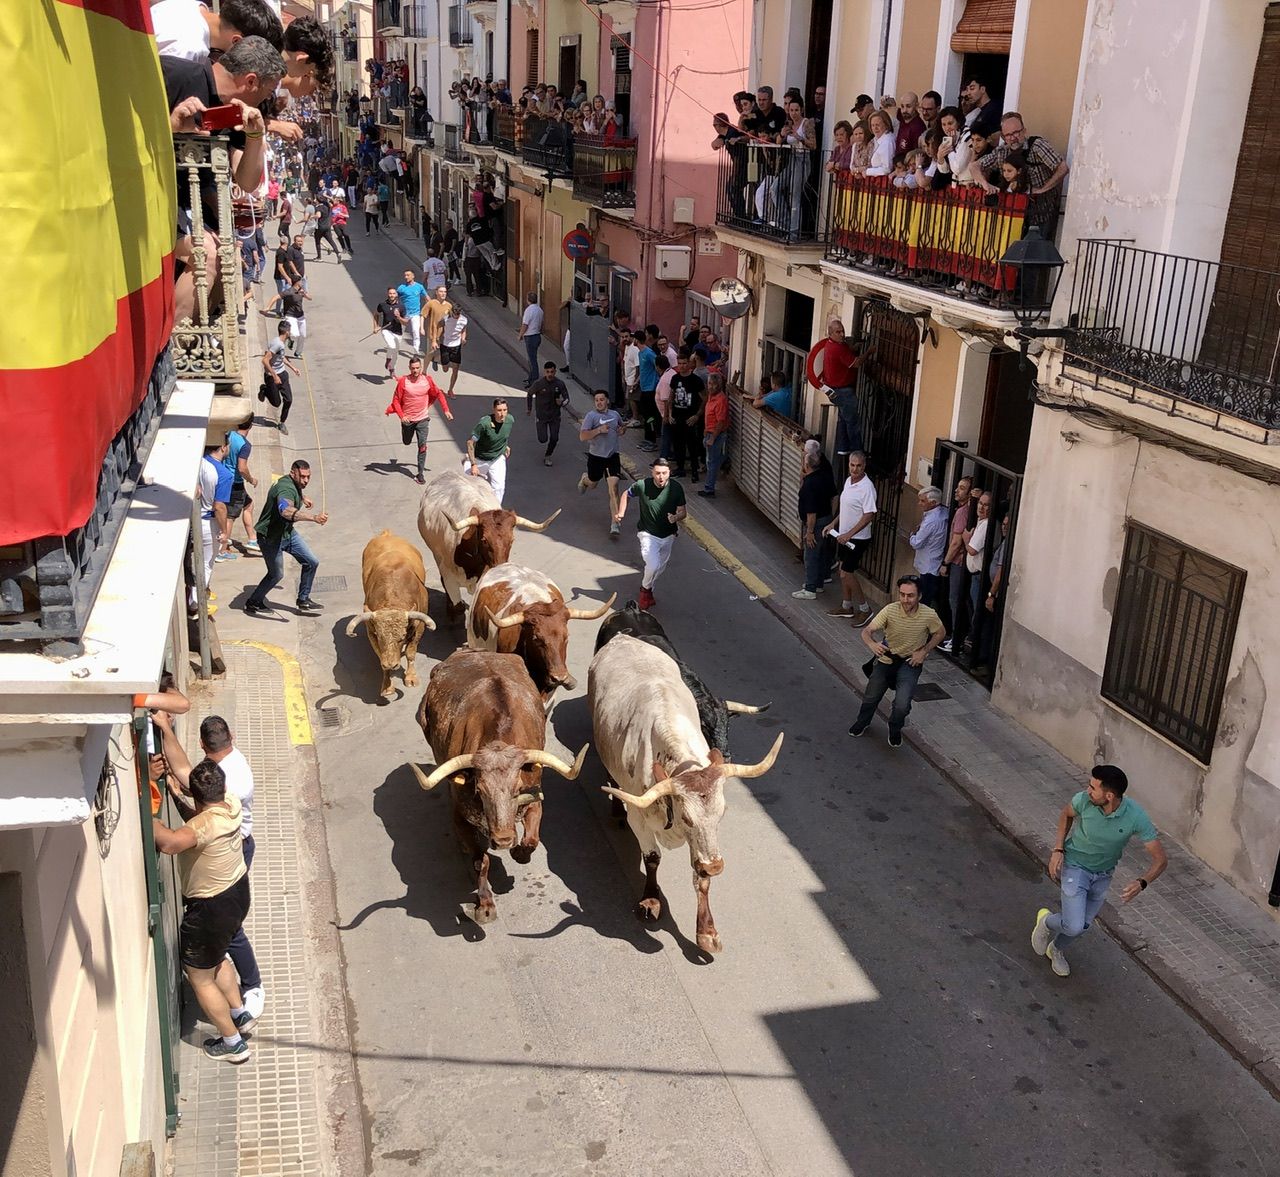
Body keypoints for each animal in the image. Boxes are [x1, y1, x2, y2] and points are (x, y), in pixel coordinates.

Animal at [348, 532, 437, 701]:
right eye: (379, 637)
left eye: (402, 637)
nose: (391, 664)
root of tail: (386, 533)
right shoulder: (371, 633)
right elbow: (380, 657)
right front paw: (387, 686)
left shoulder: (419, 628)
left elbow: (410, 652)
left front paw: (411, 677)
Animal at [412, 647, 586, 926]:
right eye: (479, 791)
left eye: (517, 790)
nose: (503, 839)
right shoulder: (461, 816)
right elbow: (480, 861)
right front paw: (484, 905)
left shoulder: (535, 798)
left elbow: (532, 840)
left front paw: (519, 853)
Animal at [419, 468, 560, 621]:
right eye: (484, 540)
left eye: (512, 540)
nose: (500, 567)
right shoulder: (448, 574)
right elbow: (458, 606)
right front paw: (452, 611)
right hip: (436, 554)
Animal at [586, 634, 783, 956]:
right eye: (687, 817)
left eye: (721, 815)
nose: (716, 865)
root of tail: (622, 637)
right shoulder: (640, 818)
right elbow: (652, 857)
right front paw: (651, 900)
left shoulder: (703, 843)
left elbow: (701, 879)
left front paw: (706, 932)